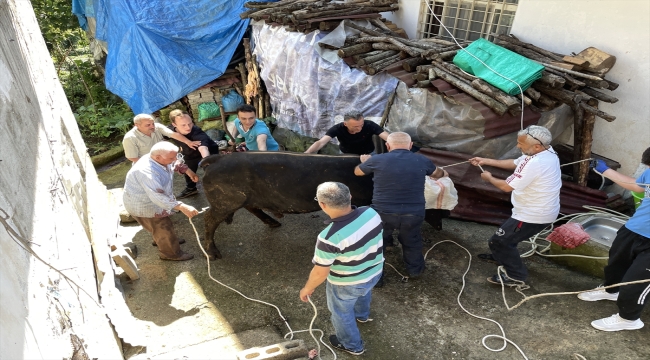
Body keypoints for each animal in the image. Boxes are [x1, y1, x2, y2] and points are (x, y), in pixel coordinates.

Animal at [200, 151, 448, 258]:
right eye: (439, 209)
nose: (441, 226)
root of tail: (217, 158)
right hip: (226, 199)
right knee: (209, 219)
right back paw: (214, 254)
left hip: (242, 198)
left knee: (251, 208)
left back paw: (274, 224)